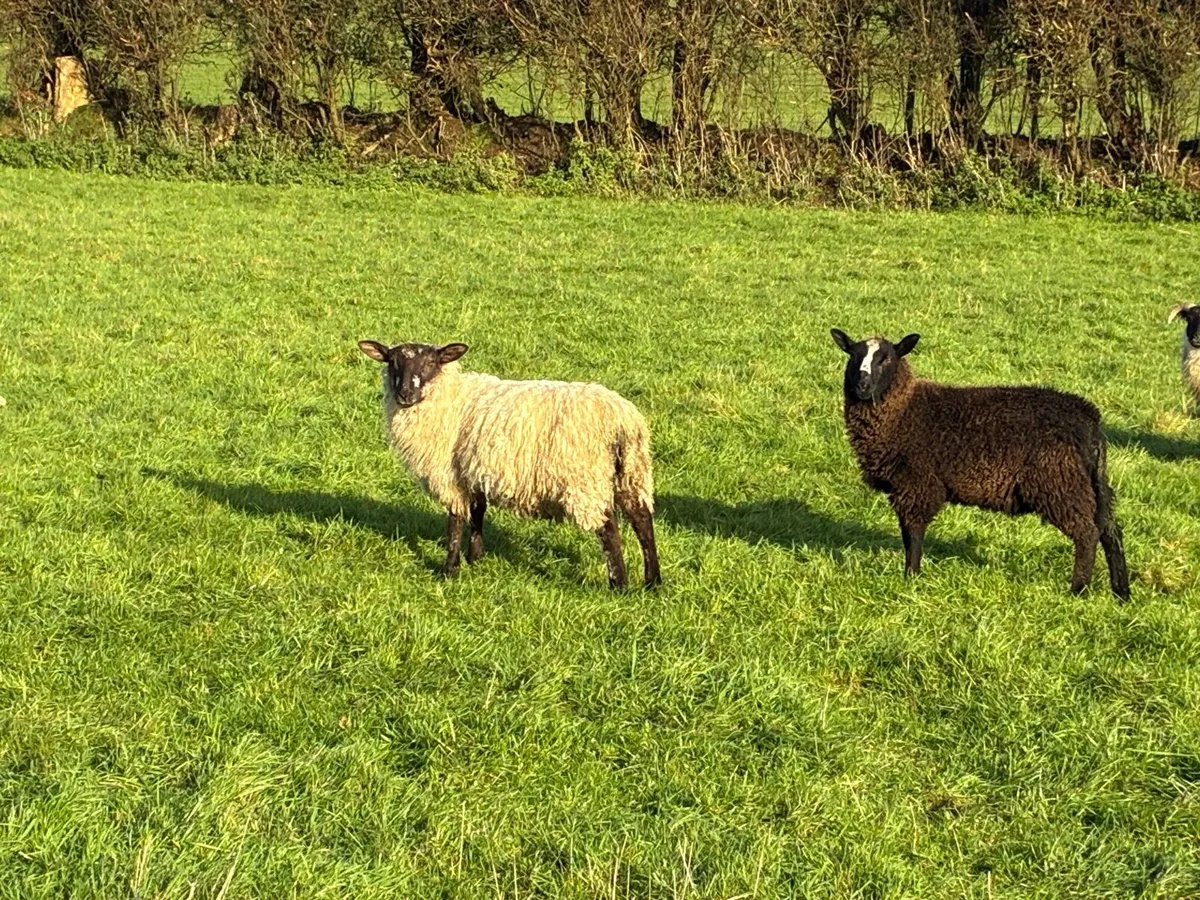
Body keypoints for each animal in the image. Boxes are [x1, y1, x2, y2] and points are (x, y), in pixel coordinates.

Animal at [358, 339, 661, 589]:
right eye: (392, 361)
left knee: (609, 528)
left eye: (431, 363)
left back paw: (619, 584)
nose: (405, 394)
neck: (447, 397)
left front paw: (449, 570)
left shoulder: (450, 474)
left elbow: (455, 521)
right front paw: (475, 558)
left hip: (586, 478)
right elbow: (478, 512)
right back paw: (652, 582)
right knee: (642, 520)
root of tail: (622, 419)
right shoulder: (474, 470)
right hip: (632, 471)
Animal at [829, 329, 1130, 600]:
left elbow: (911, 534)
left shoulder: (916, 484)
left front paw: (910, 578)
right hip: (1093, 483)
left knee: (1087, 533)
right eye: (853, 356)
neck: (904, 412)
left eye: (887, 359)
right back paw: (1121, 593)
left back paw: (1079, 590)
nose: (862, 386)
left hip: (1060, 483)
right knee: (1110, 531)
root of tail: (1088, 417)